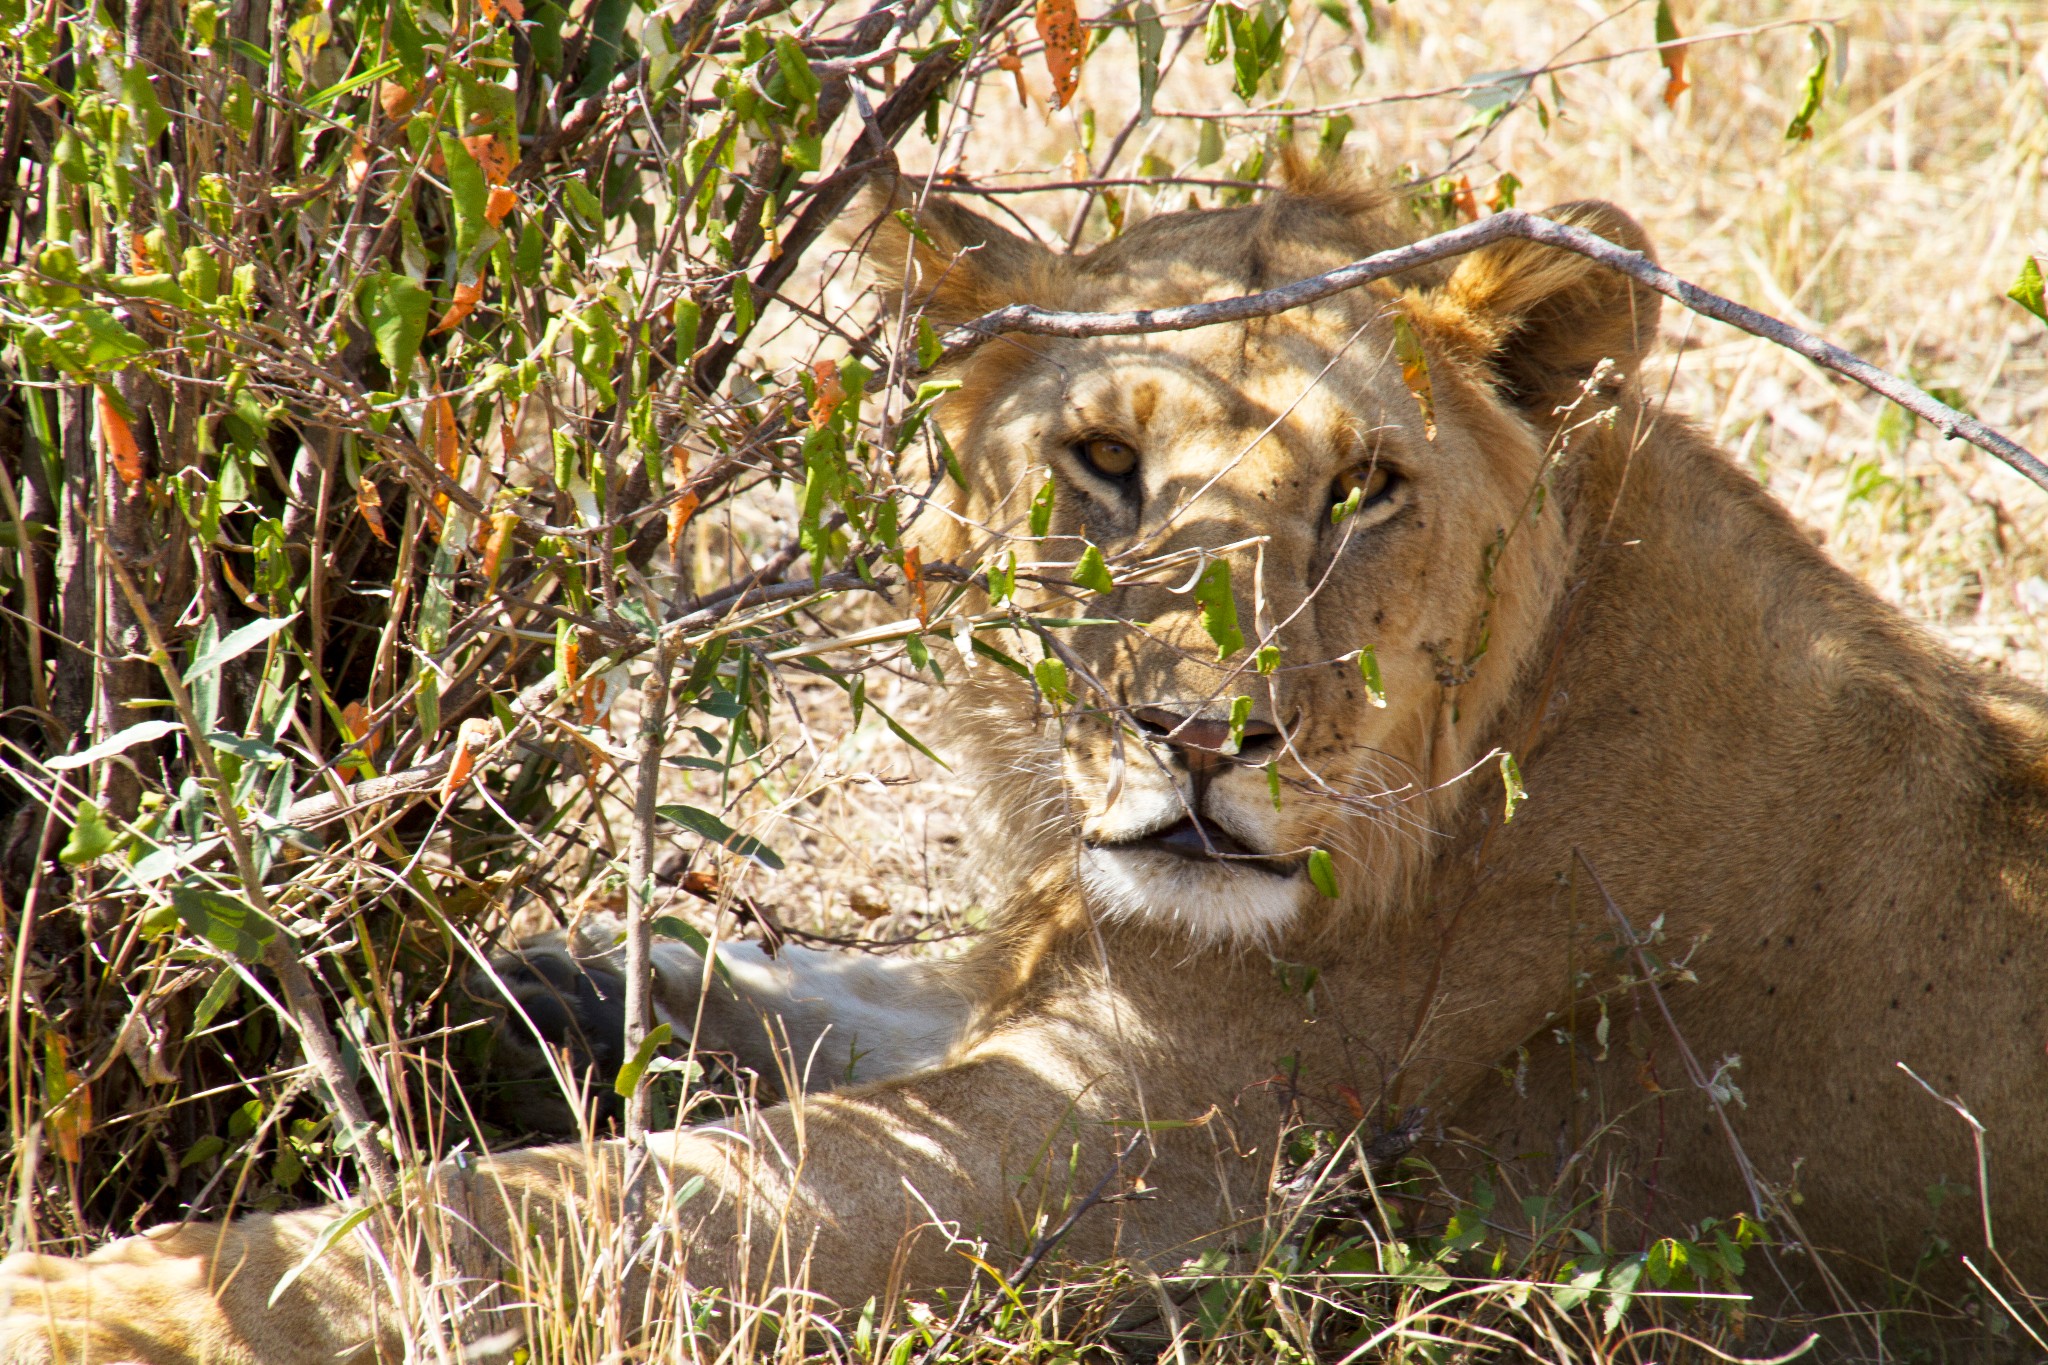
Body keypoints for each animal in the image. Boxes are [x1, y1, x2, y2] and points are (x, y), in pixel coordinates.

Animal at [4, 173, 2048, 1365]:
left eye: (1361, 490)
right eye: (1105, 464)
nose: (1201, 736)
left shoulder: (1132, 1160)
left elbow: (534, 1212)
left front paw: (86, 1299)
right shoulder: (1055, 987)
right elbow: (801, 989)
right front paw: (530, 983)